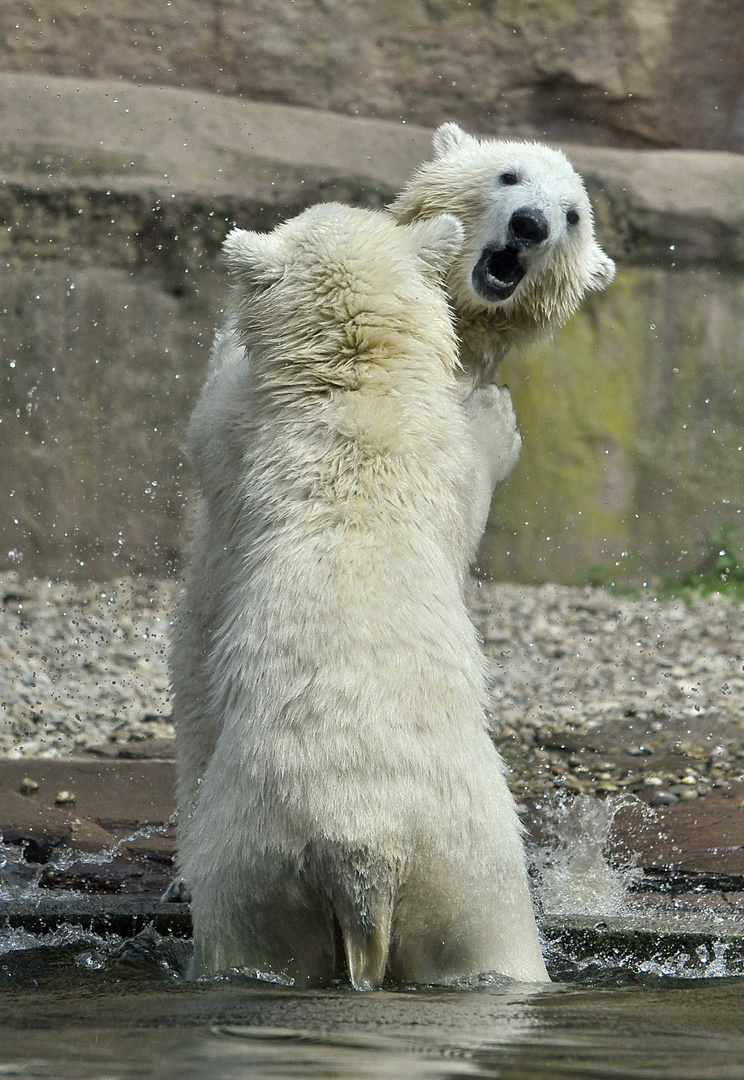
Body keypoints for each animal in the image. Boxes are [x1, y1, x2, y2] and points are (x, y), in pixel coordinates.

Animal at [172, 203, 546, 989]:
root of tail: (361, 855)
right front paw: (499, 419)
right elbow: (475, 474)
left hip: (299, 881)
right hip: (455, 870)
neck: (354, 385)